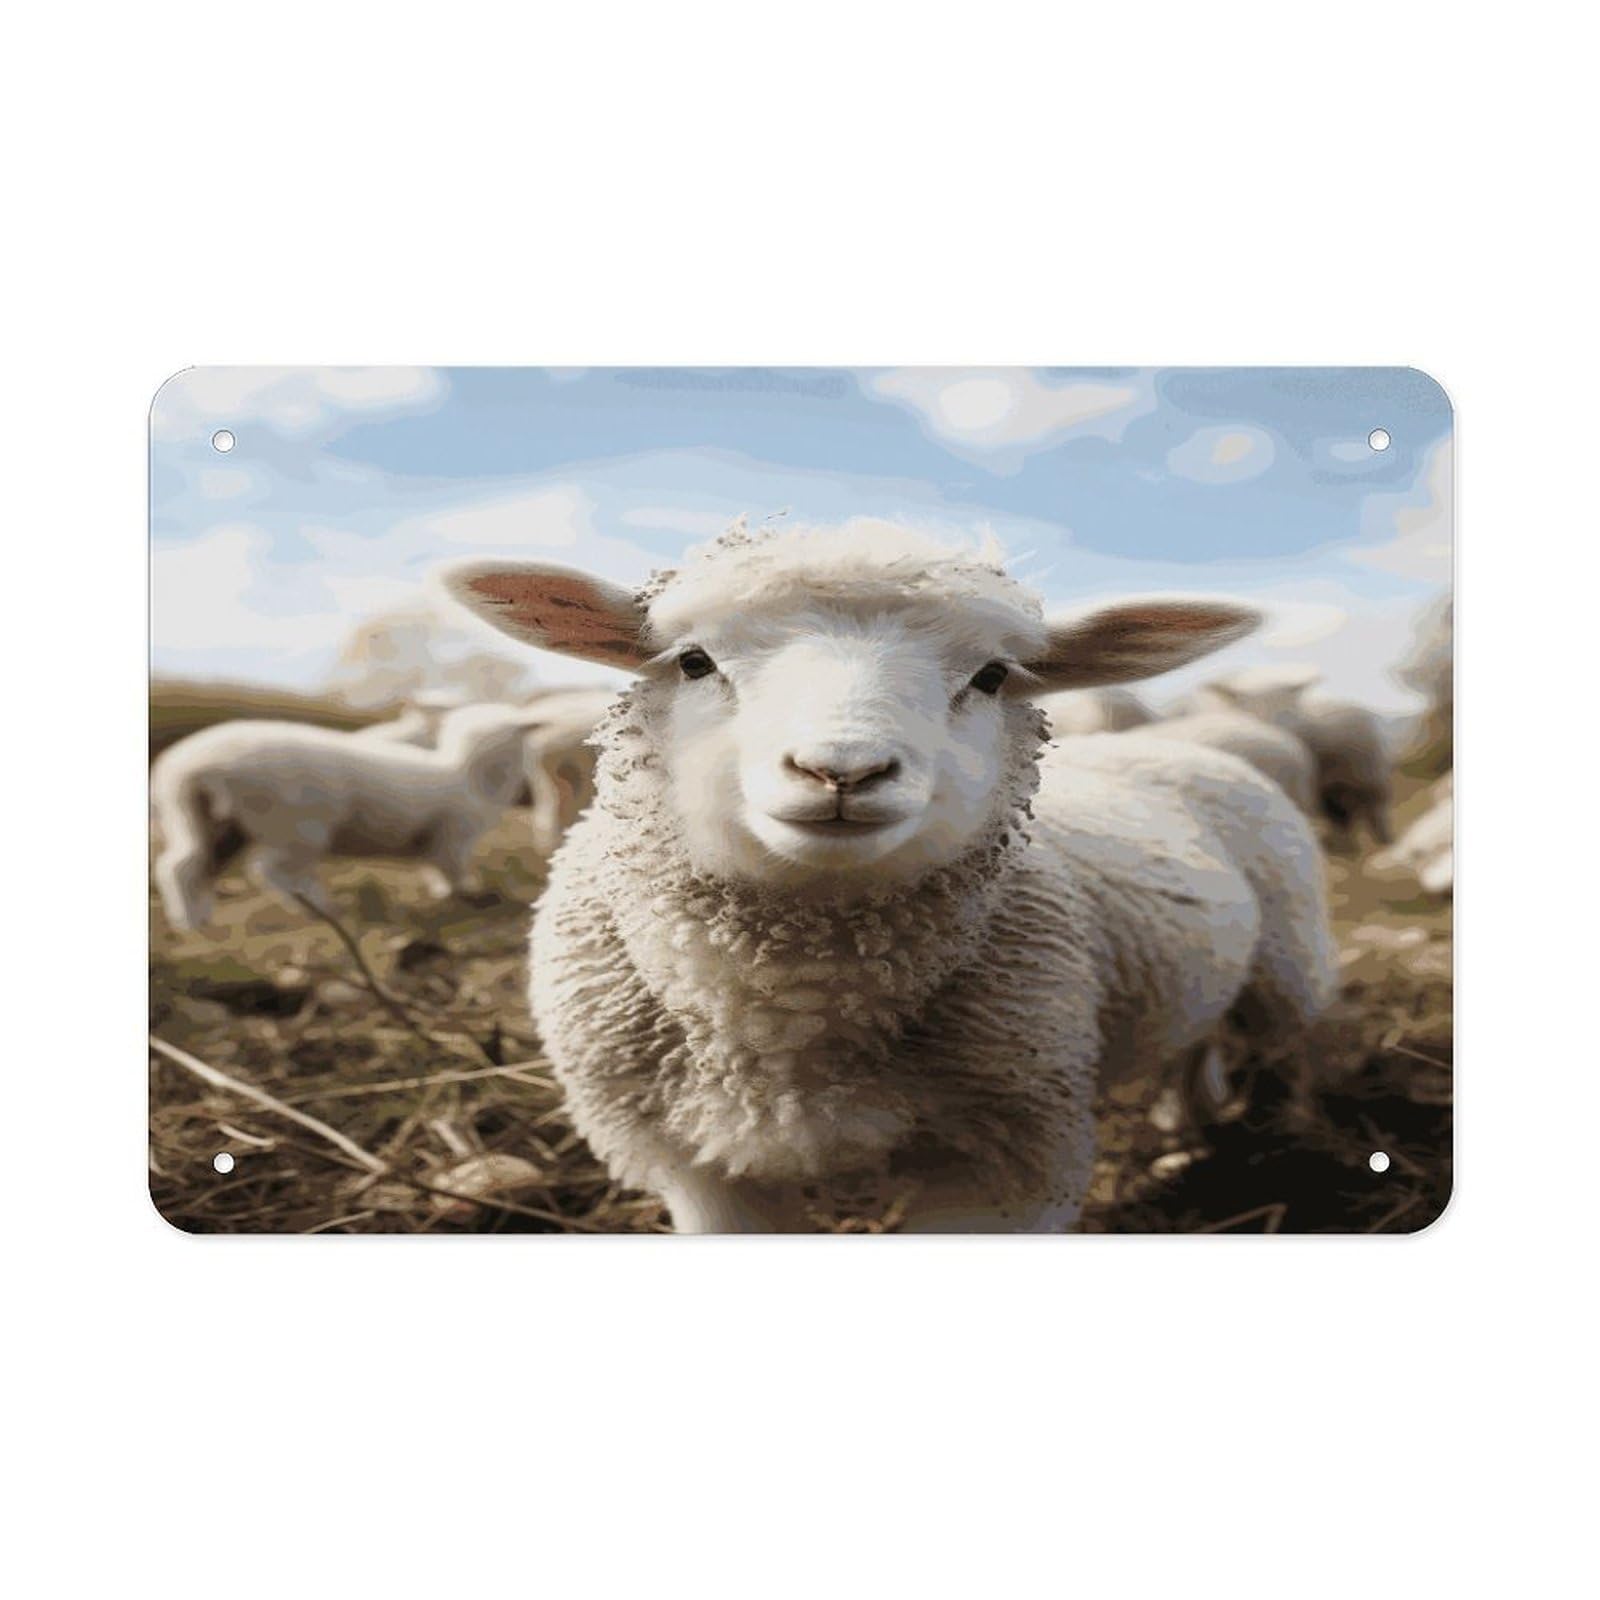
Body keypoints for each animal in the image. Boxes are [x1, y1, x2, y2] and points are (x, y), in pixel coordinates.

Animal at [151, 702, 552, 930]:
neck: (468, 771)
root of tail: (194, 767)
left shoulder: (435, 840)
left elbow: (433, 867)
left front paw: (444, 894)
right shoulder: (454, 835)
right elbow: (450, 869)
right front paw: (469, 896)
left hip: (206, 819)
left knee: (182, 865)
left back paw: (191, 921)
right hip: (295, 825)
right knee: (269, 871)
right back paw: (322, 911)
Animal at [443, 521, 1337, 1233]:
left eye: (992, 676)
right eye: (694, 661)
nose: (843, 771)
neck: (790, 1022)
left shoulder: (1016, 1154)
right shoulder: (696, 1164)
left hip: (1290, 964)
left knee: (1297, 1049)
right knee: (1193, 1042)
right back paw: (1181, 1133)